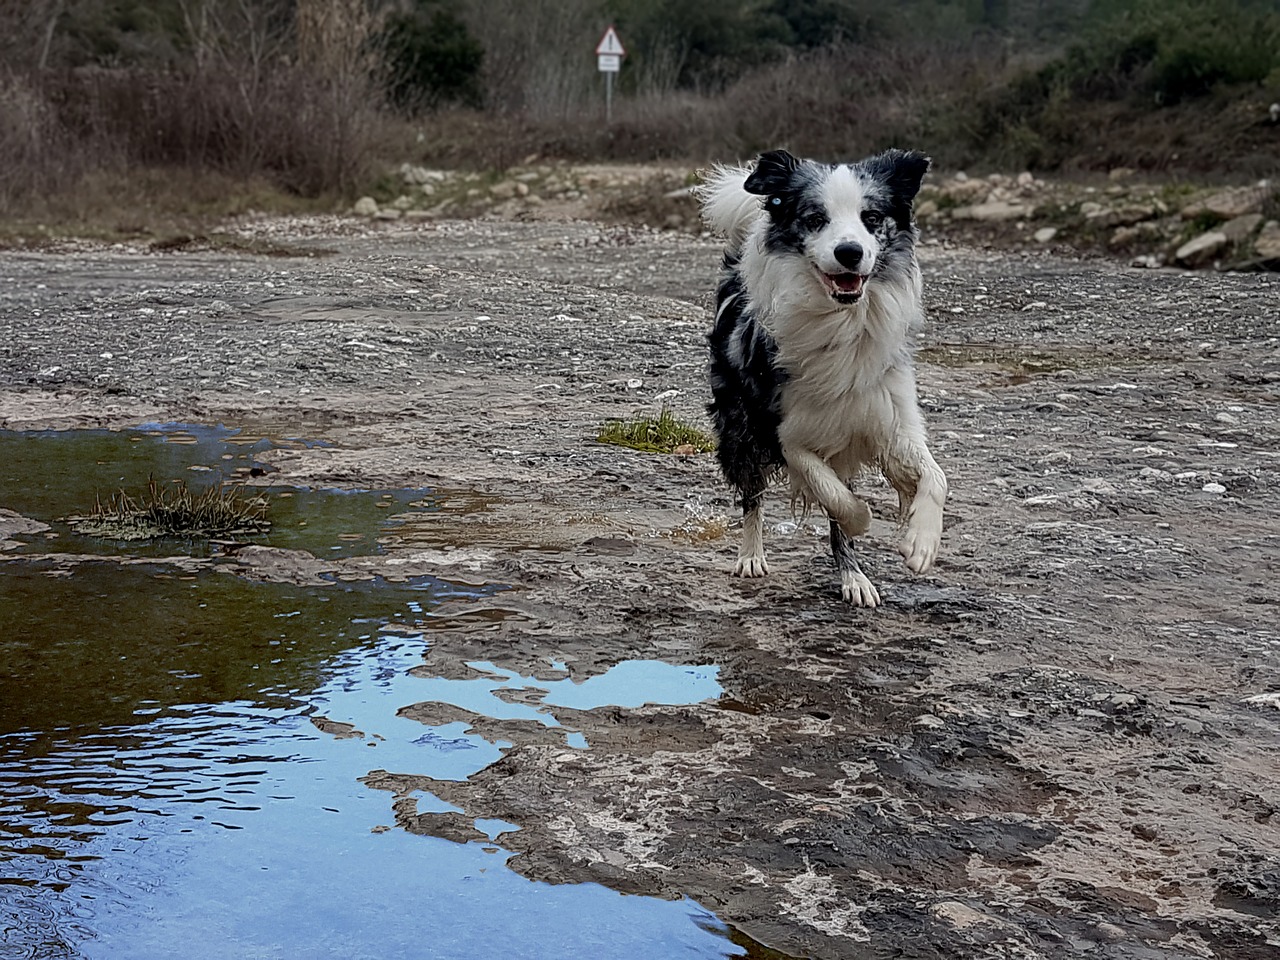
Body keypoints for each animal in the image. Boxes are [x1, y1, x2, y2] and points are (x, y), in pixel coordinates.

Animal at [696, 148, 947, 609]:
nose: (849, 252)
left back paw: (854, 579)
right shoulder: (785, 431)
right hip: (739, 427)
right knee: (752, 497)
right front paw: (863, 518)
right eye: (815, 218)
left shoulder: (889, 418)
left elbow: (934, 476)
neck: (842, 320)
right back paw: (751, 556)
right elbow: (833, 495)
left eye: (871, 217)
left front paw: (921, 542)